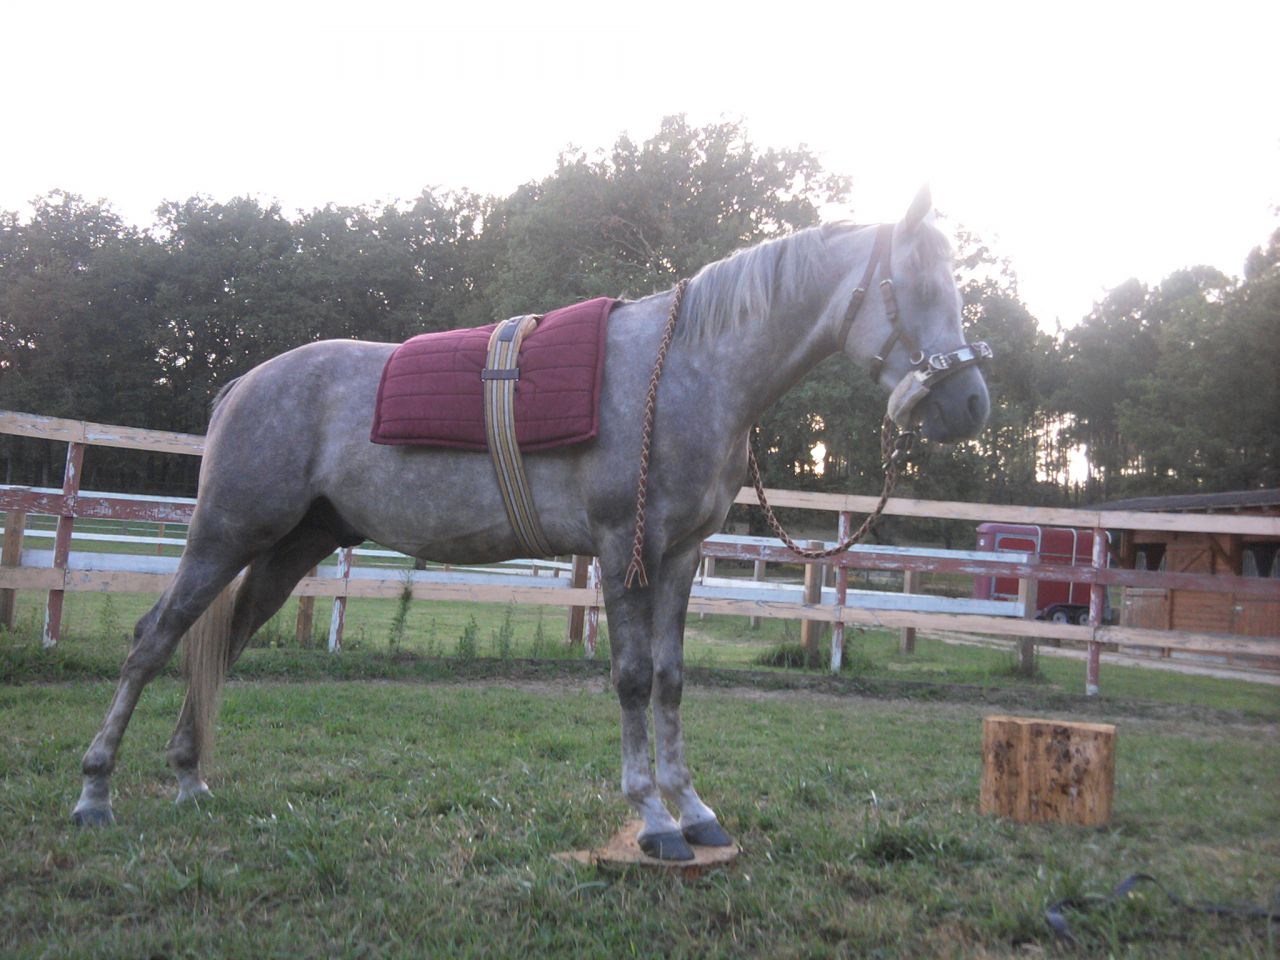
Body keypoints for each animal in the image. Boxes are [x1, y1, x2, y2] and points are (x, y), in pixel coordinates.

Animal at [71, 187, 991, 861]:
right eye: (919, 286)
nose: (971, 404)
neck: (689, 369)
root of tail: (244, 385)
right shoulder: (625, 548)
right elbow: (631, 679)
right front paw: (653, 819)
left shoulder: (682, 557)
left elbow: (673, 680)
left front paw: (695, 810)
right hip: (224, 535)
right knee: (155, 639)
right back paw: (95, 792)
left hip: (290, 547)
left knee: (223, 641)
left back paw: (189, 780)